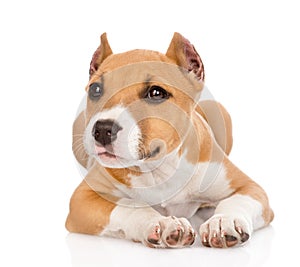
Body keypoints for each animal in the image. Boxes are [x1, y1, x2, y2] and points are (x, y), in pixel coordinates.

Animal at [66, 33, 274, 249]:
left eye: (156, 93)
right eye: (95, 89)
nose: (102, 130)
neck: (158, 169)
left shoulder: (249, 187)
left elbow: (236, 200)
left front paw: (223, 221)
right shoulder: (82, 197)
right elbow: (129, 205)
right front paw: (161, 222)